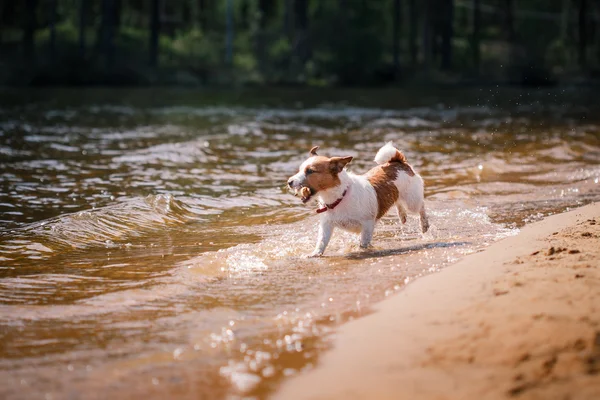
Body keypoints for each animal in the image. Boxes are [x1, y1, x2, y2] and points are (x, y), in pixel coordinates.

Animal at [288, 142, 428, 258]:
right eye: (300, 170)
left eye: (310, 171)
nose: (289, 182)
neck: (341, 196)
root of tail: (398, 162)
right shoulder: (326, 224)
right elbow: (322, 241)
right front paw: (316, 253)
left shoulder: (367, 225)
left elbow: (363, 243)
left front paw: (361, 251)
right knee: (399, 202)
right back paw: (402, 215)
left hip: (412, 201)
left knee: (421, 206)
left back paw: (424, 224)